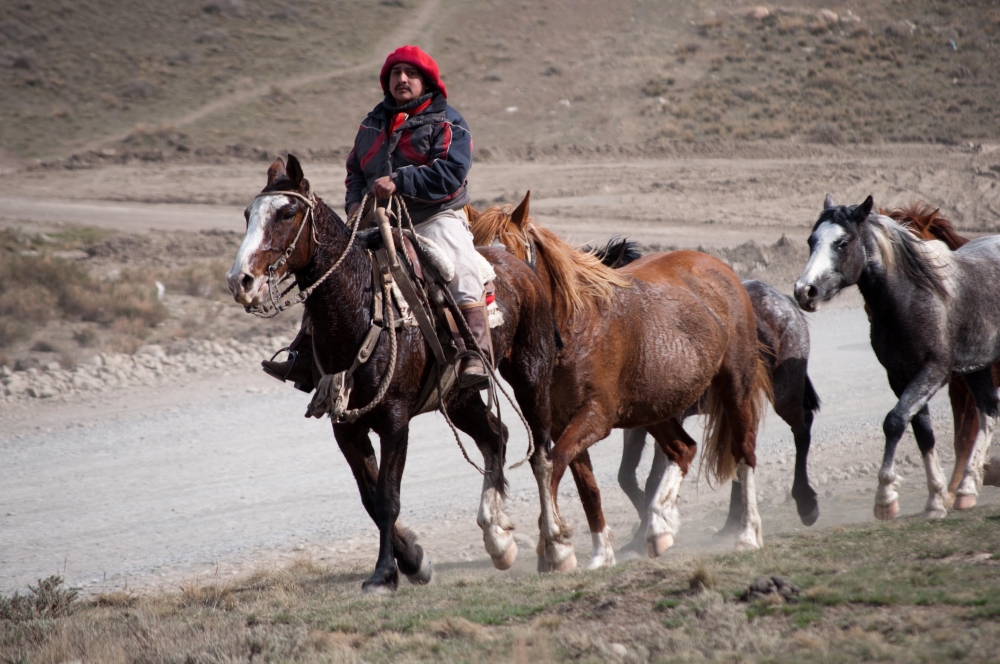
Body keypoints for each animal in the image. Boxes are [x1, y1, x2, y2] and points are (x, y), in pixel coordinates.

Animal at [224, 158, 560, 592]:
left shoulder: (395, 420)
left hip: (531, 374)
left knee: (542, 454)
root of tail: (520, 266)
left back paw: (555, 546)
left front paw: (385, 573)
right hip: (460, 396)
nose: (240, 281)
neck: (361, 308)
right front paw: (414, 560)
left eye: (286, 213)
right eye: (248, 214)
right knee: (494, 437)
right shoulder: (345, 424)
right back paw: (498, 539)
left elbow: (387, 497)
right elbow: (370, 498)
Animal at [470, 193, 772, 572]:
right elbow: (586, 488)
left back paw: (747, 533)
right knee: (684, 449)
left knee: (744, 452)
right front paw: (600, 554)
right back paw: (659, 525)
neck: (574, 329)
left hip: (734, 386)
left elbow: (555, 467)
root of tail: (719, 268)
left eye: (509, 255)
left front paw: (553, 545)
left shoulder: (595, 418)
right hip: (652, 408)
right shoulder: (562, 424)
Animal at [796, 196, 1000, 520]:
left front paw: (885, 497)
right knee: (989, 411)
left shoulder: (933, 372)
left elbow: (894, 421)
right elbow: (922, 432)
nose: (805, 291)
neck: (911, 299)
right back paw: (967, 489)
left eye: (842, 243)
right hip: (977, 367)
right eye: (811, 240)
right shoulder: (900, 375)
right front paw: (935, 501)